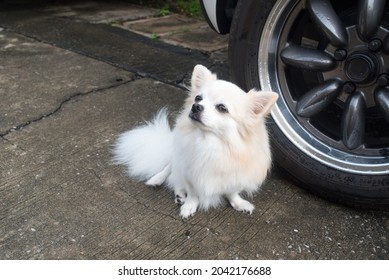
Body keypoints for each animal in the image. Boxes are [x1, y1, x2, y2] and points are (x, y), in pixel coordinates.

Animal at [113, 64, 278, 218]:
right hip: (177, 157)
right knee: (171, 167)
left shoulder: (234, 176)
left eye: (222, 108)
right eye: (198, 98)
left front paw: (238, 203)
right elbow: (192, 193)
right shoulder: (189, 172)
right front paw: (189, 206)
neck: (209, 143)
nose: (196, 106)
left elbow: (232, 192)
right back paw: (160, 181)